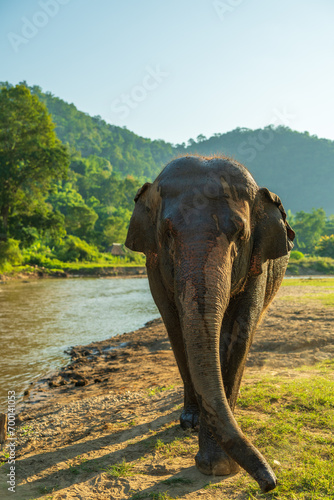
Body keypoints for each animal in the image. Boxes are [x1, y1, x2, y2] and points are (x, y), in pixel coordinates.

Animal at [126, 156, 294, 492]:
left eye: (240, 234)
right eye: (167, 234)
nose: (270, 483)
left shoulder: (258, 264)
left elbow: (238, 333)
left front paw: (219, 466)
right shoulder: (153, 265)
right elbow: (175, 326)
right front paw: (210, 453)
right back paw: (189, 420)